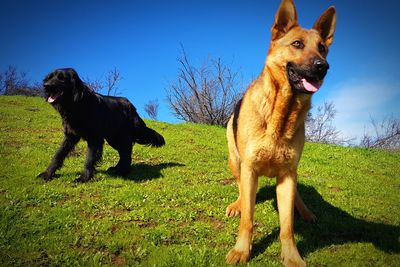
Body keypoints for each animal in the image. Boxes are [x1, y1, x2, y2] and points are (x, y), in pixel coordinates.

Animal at [38, 68, 166, 183]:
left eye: (62, 78)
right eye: (49, 77)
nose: (46, 86)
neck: (77, 105)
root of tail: (131, 106)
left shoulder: (94, 138)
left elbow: (89, 159)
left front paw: (84, 178)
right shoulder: (70, 137)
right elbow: (58, 154)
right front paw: (47, 174)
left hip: (122, 137)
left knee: (126, 154)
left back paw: (123, 171)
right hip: (113, 138)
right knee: (123, 153)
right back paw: (117, 168)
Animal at [227, 1, 336, 266]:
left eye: (322, 48)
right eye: (297, 44)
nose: (323, 67)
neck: (281, 114)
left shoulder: (287, 176)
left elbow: (287, 226)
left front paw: (292, 256)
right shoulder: (249, 170)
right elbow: (248, 219)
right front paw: (242, 250)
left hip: (292, 174)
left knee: (297, 197)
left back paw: (305, 211)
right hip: (235, 161)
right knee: (240, 189)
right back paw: (237, 204)